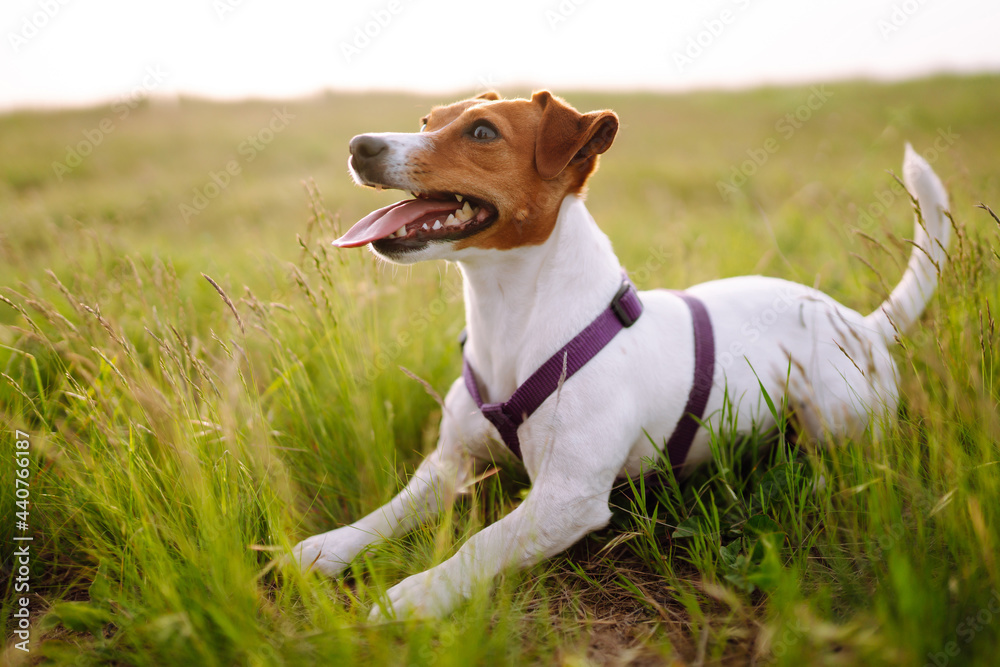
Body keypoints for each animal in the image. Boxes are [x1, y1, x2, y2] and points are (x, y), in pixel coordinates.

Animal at [292, 91, 952, 620]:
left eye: (482, 132)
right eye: (427, 120)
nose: (359, 146)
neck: (510, 318)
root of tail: (861, 321)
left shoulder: (567, 498)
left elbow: (481, 544)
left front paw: (420, 592)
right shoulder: (452, 461)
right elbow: (392, 509)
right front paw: (334, 544)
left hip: (836, 417)